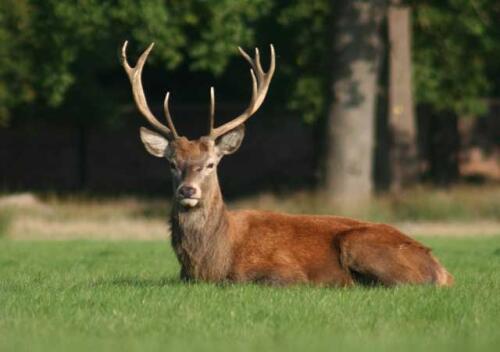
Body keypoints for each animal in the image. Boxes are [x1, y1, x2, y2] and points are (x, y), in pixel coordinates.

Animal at [121, 41, 454, 288]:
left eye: (211, 163)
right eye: (171, 163)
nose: (188, 191)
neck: (210, 262)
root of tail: (442, 270)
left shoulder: (283, 272)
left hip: (361, 243)